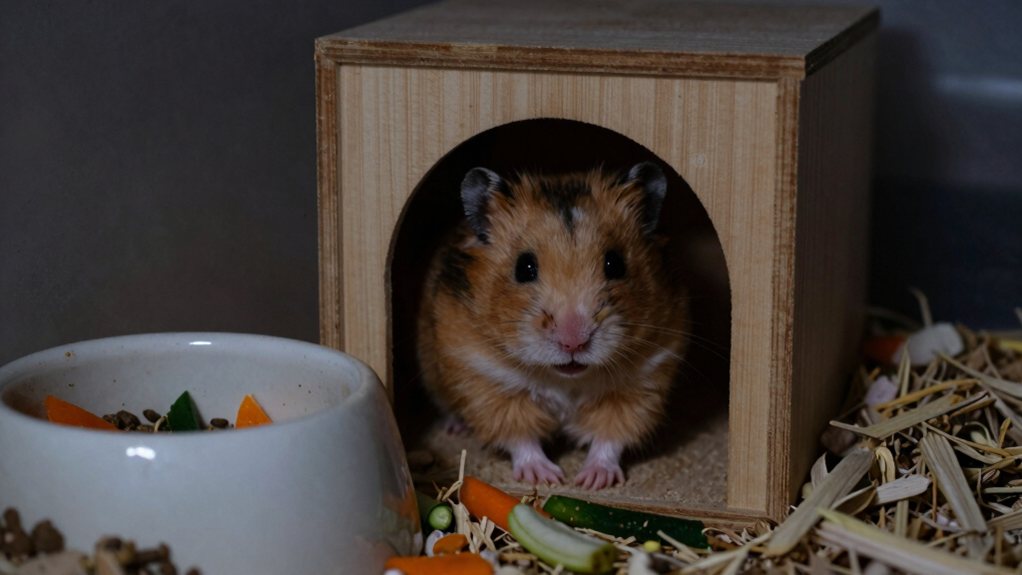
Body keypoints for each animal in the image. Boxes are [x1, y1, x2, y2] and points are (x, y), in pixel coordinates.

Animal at [416, 162, 687, 490]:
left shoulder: (641, 380)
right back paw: (456, 428)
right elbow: (519, 435)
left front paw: (592, 481)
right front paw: (547, 478)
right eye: (524, 267)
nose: (573, 342)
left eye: (615, 264)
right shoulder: (486, 379)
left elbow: (611, 435)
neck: (565, 379)